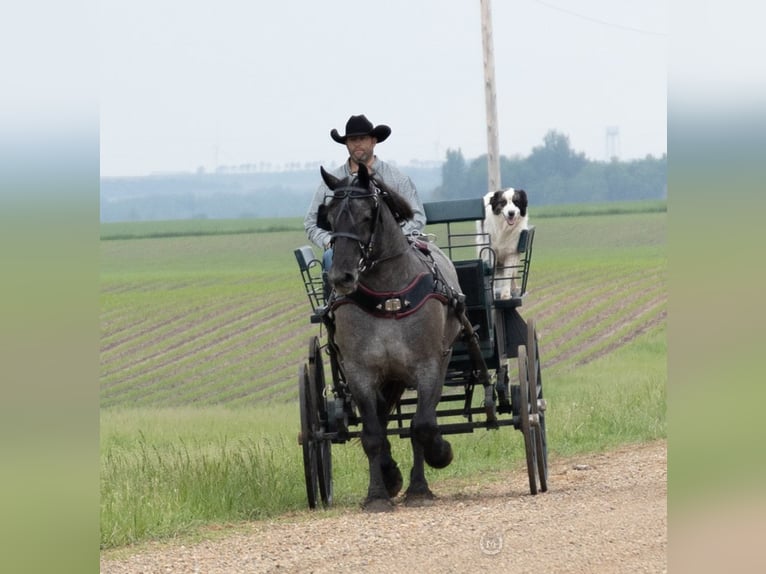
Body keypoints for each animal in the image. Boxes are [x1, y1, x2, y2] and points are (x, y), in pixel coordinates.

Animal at [316, 163, 476, 512]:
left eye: (366, 216)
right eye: (329, 217)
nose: (341, 277)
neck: (388, 295)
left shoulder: (427, 366)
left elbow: (423, 426)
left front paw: (433, 466)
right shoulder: (360, 372)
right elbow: (373, 434)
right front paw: (379, 492)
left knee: (418, 422)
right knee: (384, 419)